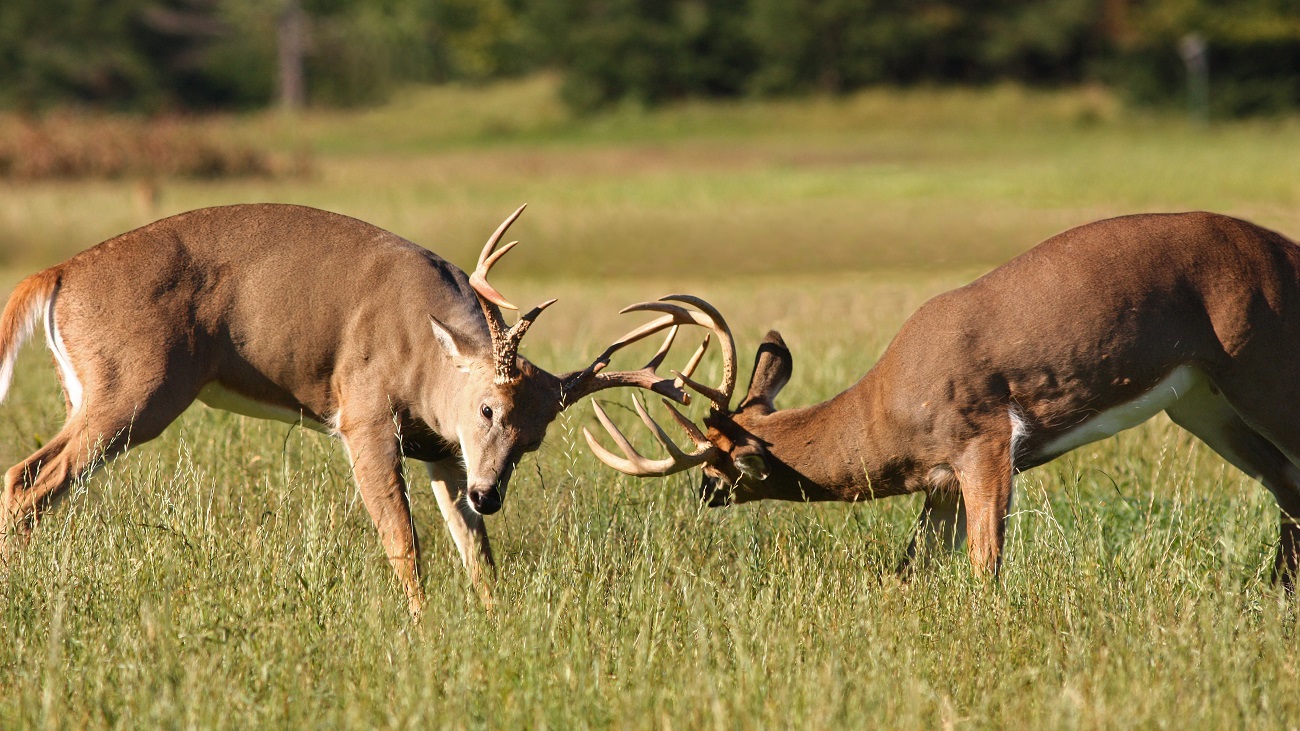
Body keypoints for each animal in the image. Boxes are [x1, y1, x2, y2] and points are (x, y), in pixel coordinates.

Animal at [0, 201, 733, 611]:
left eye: (536, 436)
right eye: (489, 410)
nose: (494, 491)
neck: (427, 351)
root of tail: (55, 273)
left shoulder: (443, 451)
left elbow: (476, 548)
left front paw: (495, 622)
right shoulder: (363, 412)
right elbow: (402, 538)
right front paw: (423, 628)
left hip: (87, 390)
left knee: (33, 478)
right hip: (132, 390)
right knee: (29, 477)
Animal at [592, 210, 1300, 585]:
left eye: (716, 457)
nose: (703, 492)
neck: (887, 413)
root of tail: (1289, 250)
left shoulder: (984, 439)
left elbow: (986, 564)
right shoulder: (941, 481)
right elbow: (910, 567)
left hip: (1262, 367)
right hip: (1201, 402)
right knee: (1285, 484)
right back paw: (1274, 590)